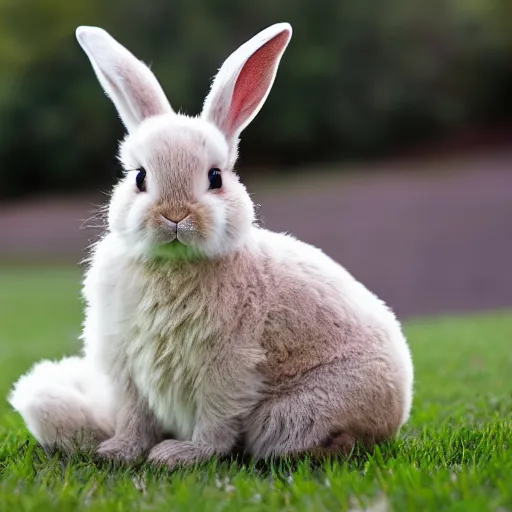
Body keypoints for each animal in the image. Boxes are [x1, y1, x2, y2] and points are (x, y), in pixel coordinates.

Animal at [8, 22, 414, 466]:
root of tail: (398, 406)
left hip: (294, 416)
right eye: (139, 177)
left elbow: (215, 421)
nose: (175, 215)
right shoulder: (127, 371)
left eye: (215, 177)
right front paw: (118, 452)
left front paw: (180, 455)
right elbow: (135, 418)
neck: (172, 264)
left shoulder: (227, 368)